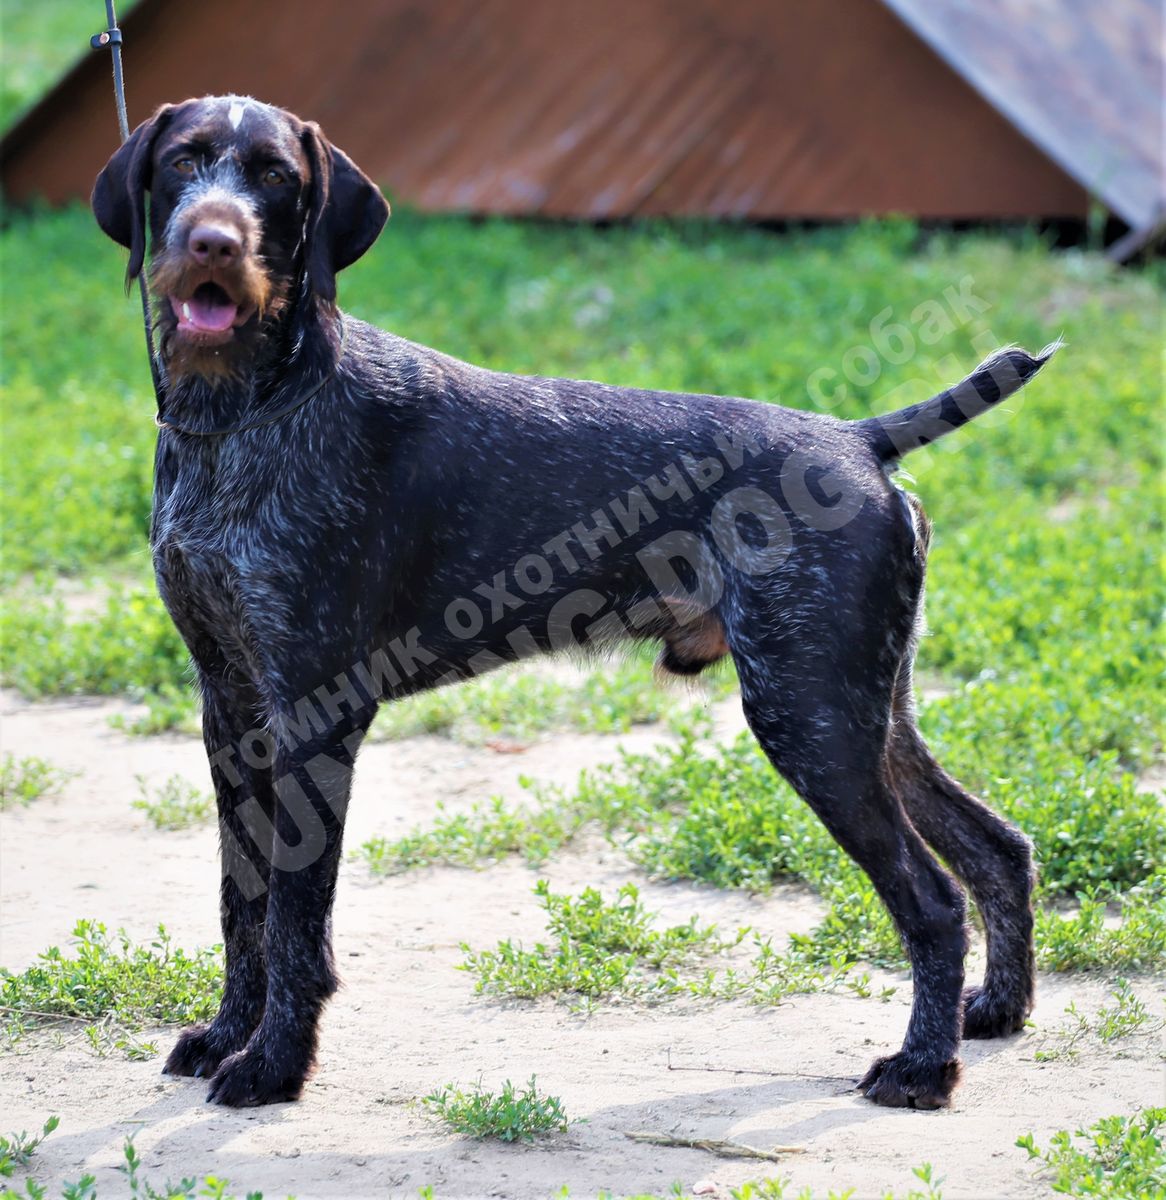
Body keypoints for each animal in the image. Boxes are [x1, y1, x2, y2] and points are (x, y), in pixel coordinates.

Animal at [92, 94, 1052, 1110]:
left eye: (275, 175)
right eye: (184, 161)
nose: (212, 241)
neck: (240, 414)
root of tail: (859, 441)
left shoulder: (317, 714)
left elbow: (293, 919)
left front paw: (273, 1064)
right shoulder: (232, 710)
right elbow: (242, 901)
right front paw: (228, 1034)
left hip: (812, 718)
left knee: (934, 898)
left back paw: (924, 1066)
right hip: (870, 713)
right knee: (997, 849)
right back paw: (996, 1011)